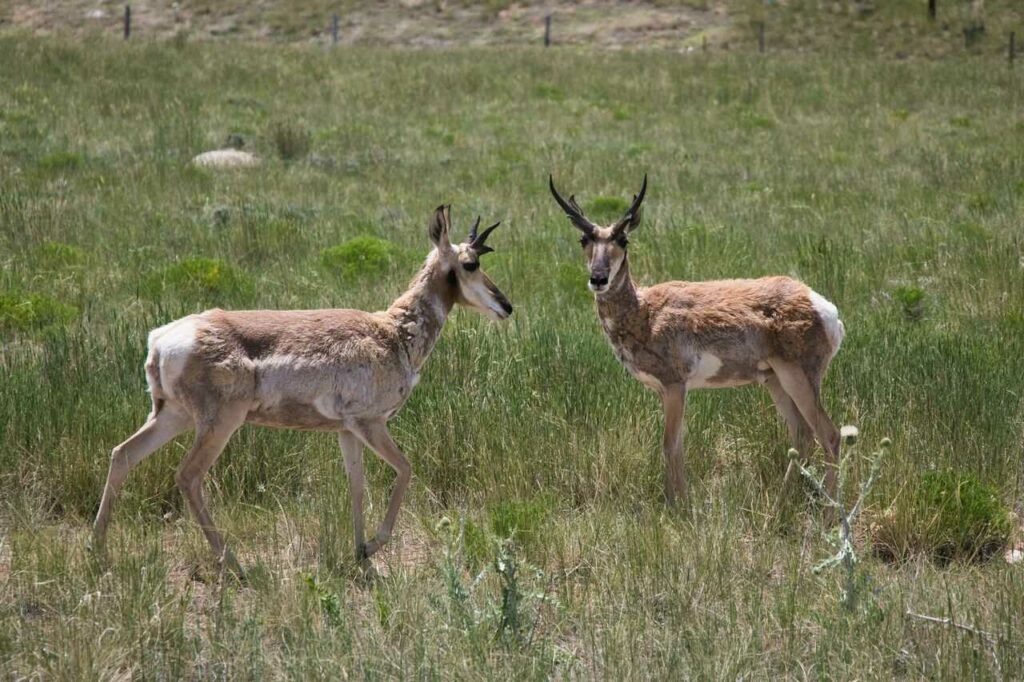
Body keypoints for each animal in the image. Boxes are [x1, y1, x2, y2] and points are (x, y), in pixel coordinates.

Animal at [93, 204, 512, 569]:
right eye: (471, 264)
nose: (506, 306)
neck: (391, 331)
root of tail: (161, 339)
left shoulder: (347, 431)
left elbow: (357, 485)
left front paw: (360, 552)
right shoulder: (371, 423)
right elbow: (406, 469)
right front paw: (373, 545)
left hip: (172, 416)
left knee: (122, 454)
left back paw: (97, 548)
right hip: (218, 424)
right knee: (188, 475)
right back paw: (234, 563)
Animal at [552, 175, 847, 503]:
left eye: (623, 240)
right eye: (584, 240)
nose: (598, 279)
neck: (644, 311)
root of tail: (821, 305)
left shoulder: (675, 386)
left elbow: (669, 447)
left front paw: (679, 506)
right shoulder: (664, 391)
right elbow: (676, 447)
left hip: (798, 377)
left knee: (829, 435)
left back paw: (830, 510)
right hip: (775, 381)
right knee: (802, 435)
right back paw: (779, 507)